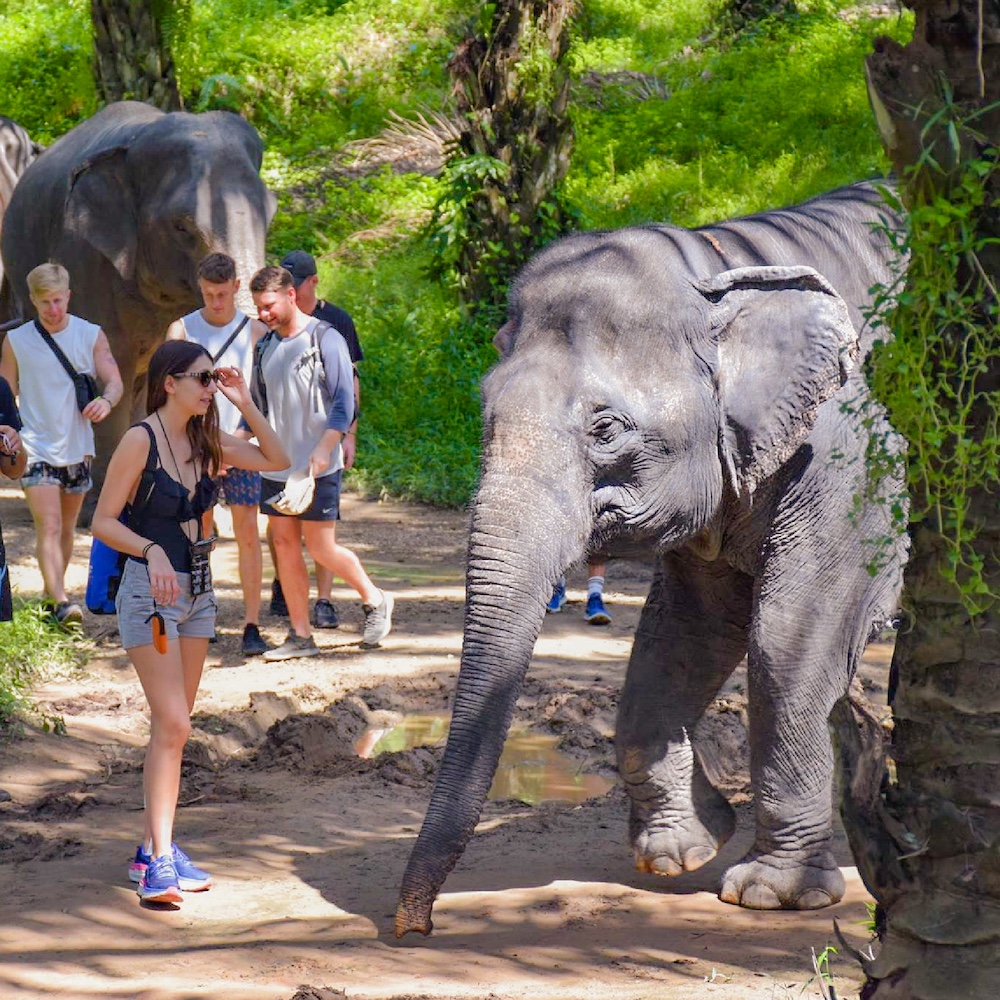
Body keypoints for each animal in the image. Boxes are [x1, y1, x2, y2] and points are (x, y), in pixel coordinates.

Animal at [396, 181, 909, 937]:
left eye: (606, 429)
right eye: (485, 412)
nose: (417, 926)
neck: (719, 262)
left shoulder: (855, 458)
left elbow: (785, 638)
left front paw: (770, 894)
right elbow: (685, 632)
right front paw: (682, 850)